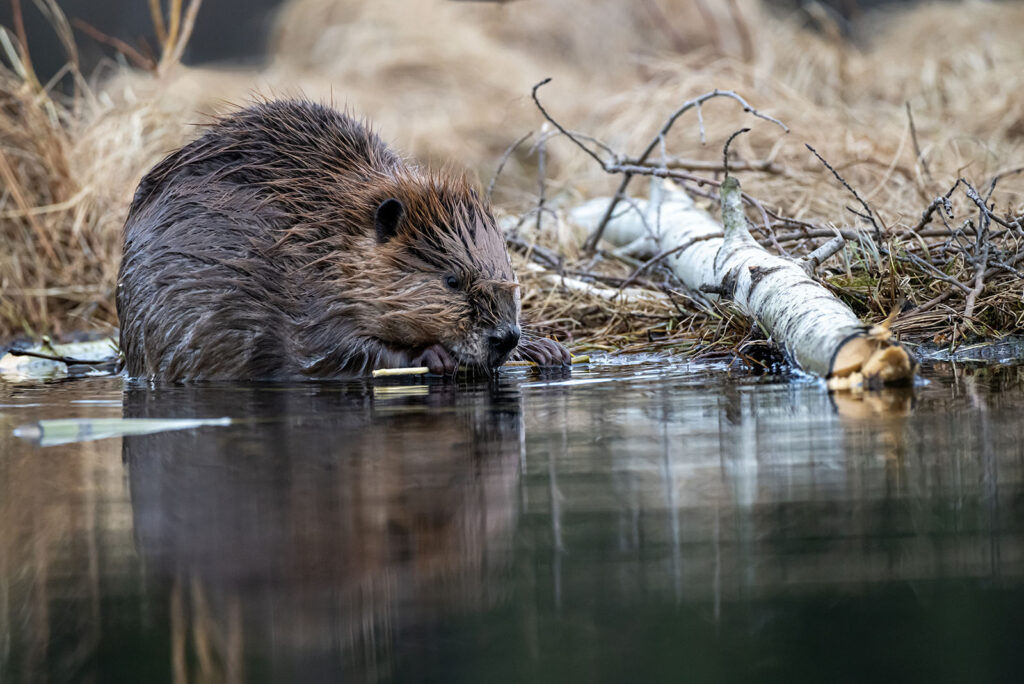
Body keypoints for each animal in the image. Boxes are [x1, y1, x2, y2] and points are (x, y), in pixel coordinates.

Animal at [118, 99, 573, 382]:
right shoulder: (298, 300)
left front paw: (546, 349)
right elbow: (328, 352)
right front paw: (432, 356)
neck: (319, 238)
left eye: (508, 272)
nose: (505, 336)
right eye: (451, 281)